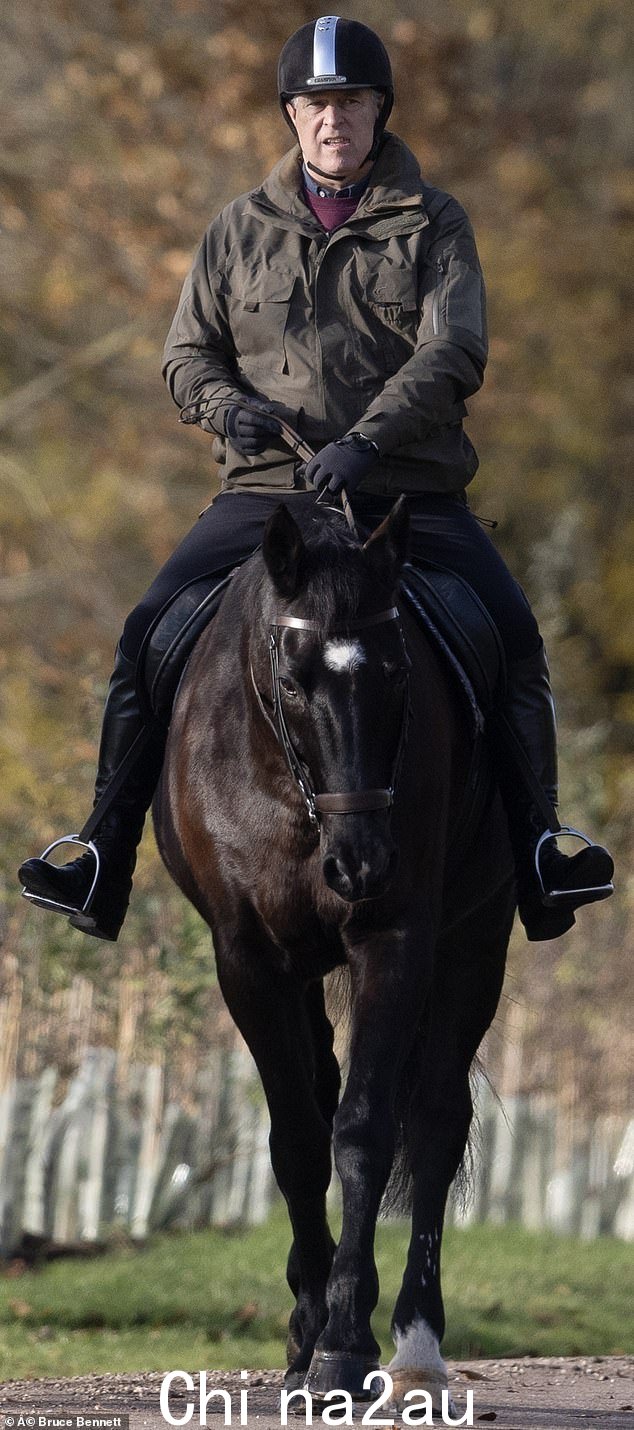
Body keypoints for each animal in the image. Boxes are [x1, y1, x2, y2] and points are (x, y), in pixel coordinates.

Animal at [153, 500, 515, 1407]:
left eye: (399, 674)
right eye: (291, 682)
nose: (361, 866)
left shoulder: (395, 940)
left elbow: (361, 1130)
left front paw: (345, 1346)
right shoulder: (248, 960)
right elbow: (296, 1138)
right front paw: (309, 1331)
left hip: (476, 940)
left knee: (436, 1120)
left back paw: (417, 1345)